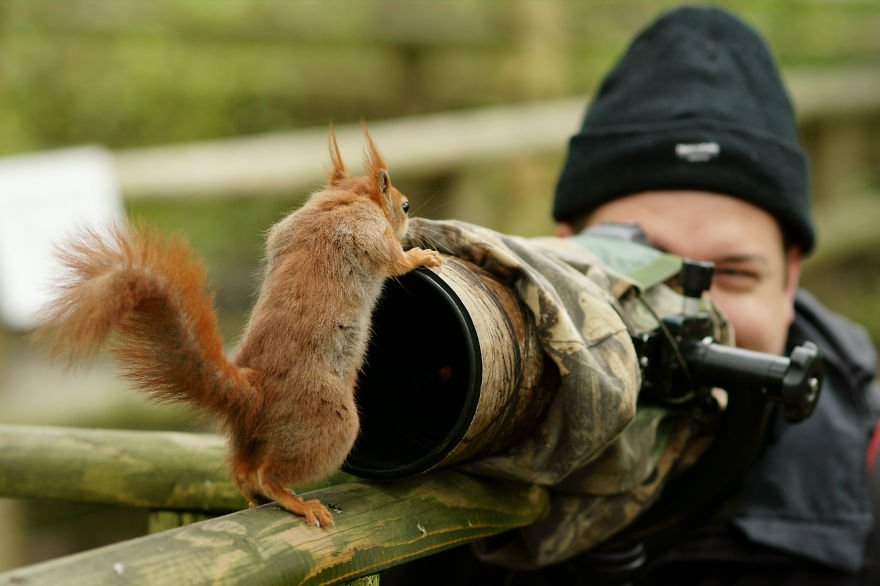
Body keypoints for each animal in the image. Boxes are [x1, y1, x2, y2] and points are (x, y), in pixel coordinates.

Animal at [37, 126, 444, 524]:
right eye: (404, 205)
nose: (411, 221)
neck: (342, 199)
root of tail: (253, 394)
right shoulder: (366, 232)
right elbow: (393, 260)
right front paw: (421, 255)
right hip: (330, 424)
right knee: (269, 474)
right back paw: (298, 503)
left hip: (249, 438)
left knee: (243, 471)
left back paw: (253, 497)